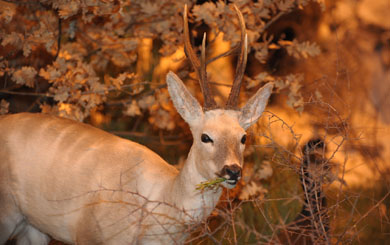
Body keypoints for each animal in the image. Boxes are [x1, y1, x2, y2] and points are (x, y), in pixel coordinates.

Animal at [0, 4, 272, 245]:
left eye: (243, 137)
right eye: (205, 137)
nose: (233, 170)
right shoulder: (90, 233)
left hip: (32, 227)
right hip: (7, 212)